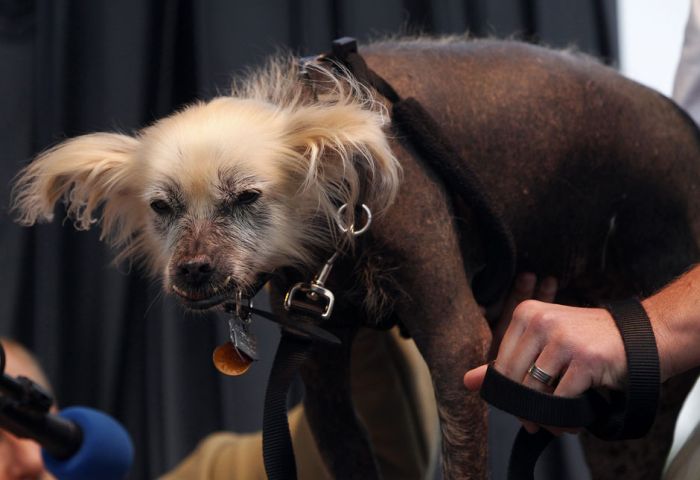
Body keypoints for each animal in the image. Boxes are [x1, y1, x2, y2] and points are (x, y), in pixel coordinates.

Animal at [12, 38, 700, 480]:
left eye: (247, 197)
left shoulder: (459, 345)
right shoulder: (316, 364)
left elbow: (462, 455)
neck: (338, 214)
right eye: (162, 207)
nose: (192, 271)